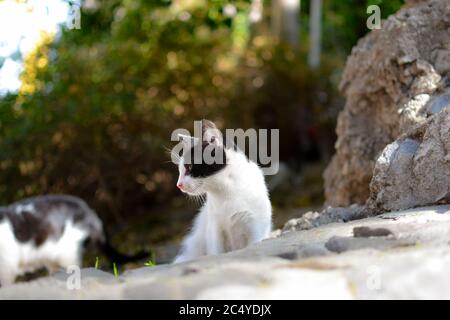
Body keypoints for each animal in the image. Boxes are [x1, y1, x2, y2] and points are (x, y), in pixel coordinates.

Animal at [172, 119, 270, 262]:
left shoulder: (256, 225)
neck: (225, 191)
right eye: (180, 170)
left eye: (189, 167)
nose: (178, 185)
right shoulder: (214, 228)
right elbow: (216, 252)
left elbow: (255, 244)